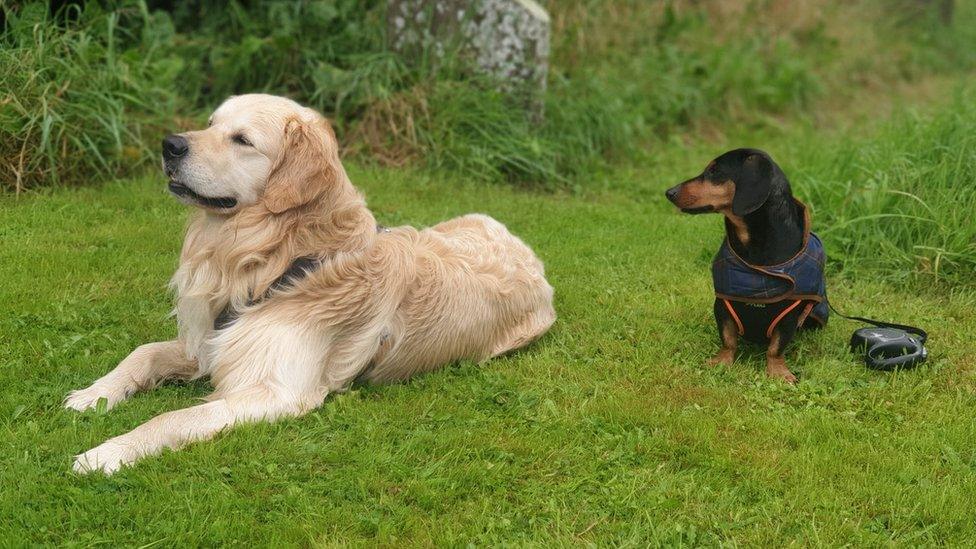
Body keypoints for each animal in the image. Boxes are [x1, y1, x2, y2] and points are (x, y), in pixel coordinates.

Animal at [65, 93, 556, 470]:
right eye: (210, 124)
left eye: (242, 139)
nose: (169, 144)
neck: (275, 259)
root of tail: (529, 253)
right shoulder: (212, 342)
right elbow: (143, 352)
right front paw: (93, 394)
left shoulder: (278, 391)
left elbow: (173, 418)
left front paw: (108, 453)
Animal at [660, 148, 828, 384]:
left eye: (714, 171)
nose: (669, 192)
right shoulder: (722, 305)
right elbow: (728, 339)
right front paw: (722, 362)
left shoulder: (789, 313)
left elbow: (776, 347)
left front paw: (778, 372)